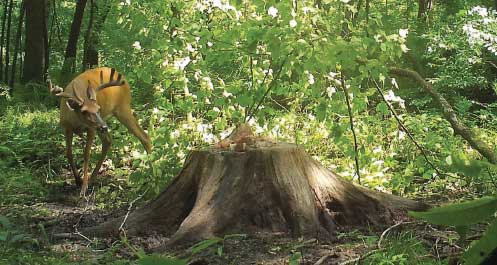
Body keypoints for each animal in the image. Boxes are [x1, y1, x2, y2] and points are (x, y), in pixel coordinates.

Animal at [50, 67, 153, 195]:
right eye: (84, 111)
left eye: (98, 108)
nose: (104, 126)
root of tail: (123, 78)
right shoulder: (67, 127)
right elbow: (69, 153)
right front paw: (78, 180)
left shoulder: (91, 128)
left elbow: (86, 154)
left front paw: (83, 188)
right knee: (108, 140)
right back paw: (92, 178)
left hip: (122, 108)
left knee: (144, 136)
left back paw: (152, 170)